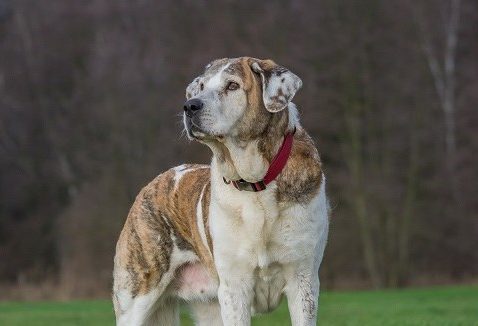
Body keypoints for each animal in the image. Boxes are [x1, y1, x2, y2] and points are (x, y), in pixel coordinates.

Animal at [112, 57, 328, 324]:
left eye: (232, 85)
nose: (190, 105)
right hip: (136, 296)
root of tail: (153, 183)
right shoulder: (234, 287)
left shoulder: (303, 280)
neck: (255, 184)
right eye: (202, 86)